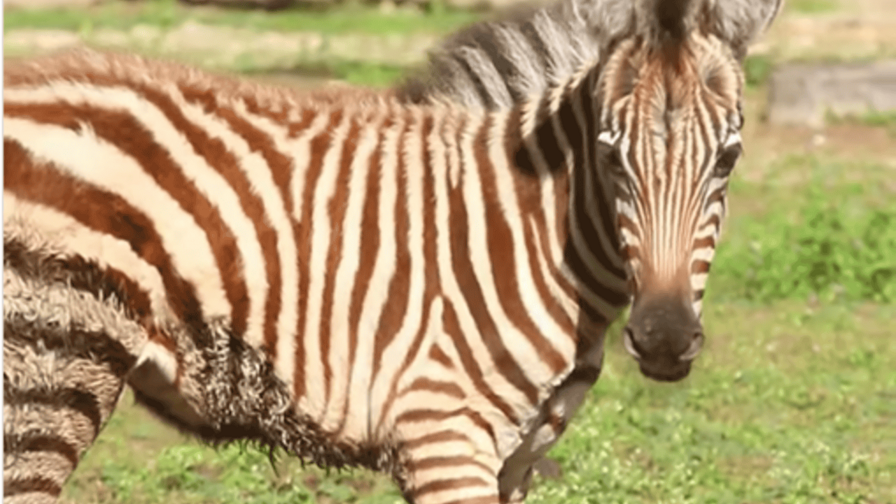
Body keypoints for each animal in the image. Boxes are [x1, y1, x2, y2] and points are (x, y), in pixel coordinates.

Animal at [3, 0, 778, 503]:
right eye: (610, 156)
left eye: (729, 157)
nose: (665, 340)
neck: (530, 232)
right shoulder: (442, 435)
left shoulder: (518, 458)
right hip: (50, 367)